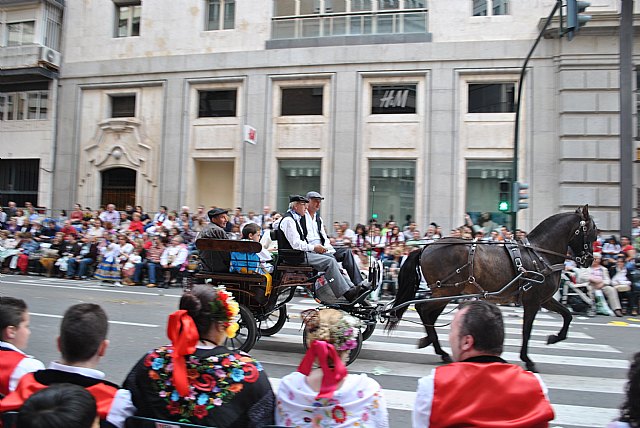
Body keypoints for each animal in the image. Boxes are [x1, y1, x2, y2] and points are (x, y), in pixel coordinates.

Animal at [388, 205, 596, 372]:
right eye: (592, 232)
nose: (589, 260)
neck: (540, 255)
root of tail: (426, 247)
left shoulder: (544, 300)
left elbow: (567, 315)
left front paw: (554, 337)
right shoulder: (533, 302)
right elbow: (527, 331)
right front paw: (527, 359)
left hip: (443, 293)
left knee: (428, 315)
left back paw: (433, 344)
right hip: (445, 292)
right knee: (423, 309)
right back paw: (439, 349)